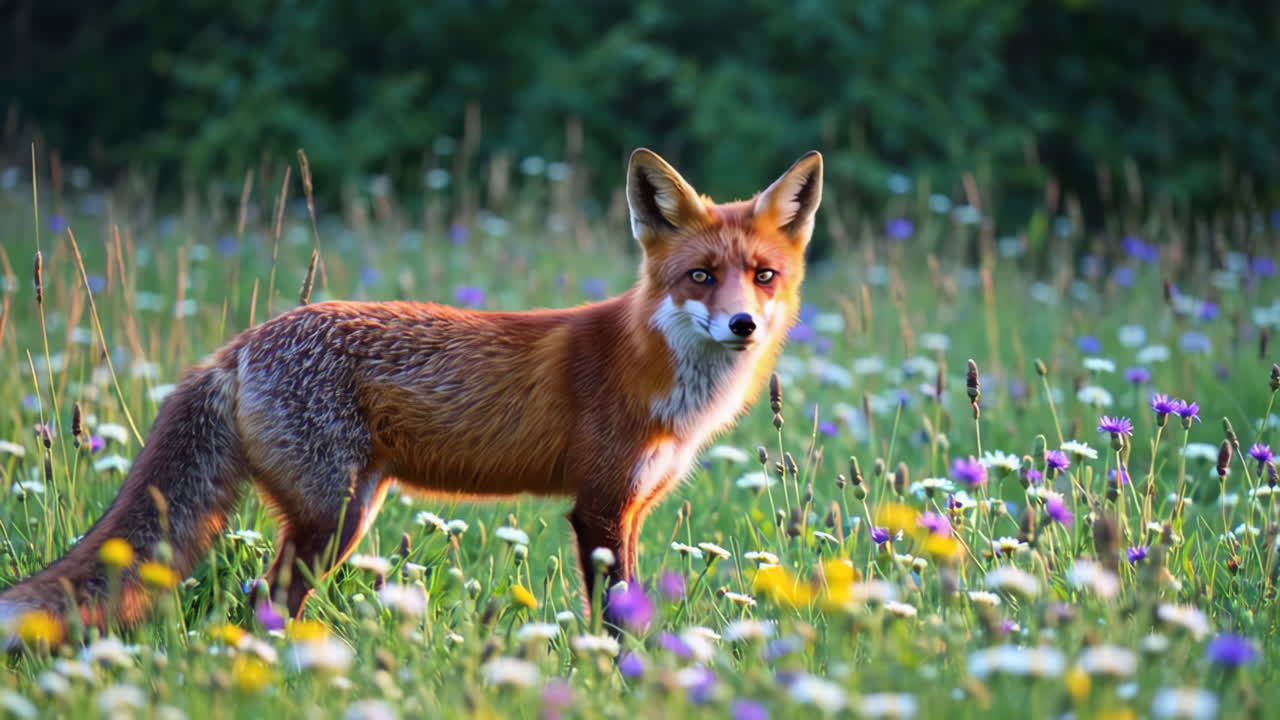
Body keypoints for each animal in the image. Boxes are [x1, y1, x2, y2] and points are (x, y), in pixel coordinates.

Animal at [0, 148, 822, 636]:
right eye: (700, 277)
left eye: (764, 276)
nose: (744, 324)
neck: (654, 373)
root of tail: (240, 345)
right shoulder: (596, 507)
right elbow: (618, 624)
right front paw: (625, 681)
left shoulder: (633, 509)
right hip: (332, 519)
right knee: (261, 600)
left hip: (349, 512)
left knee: (263, 600)